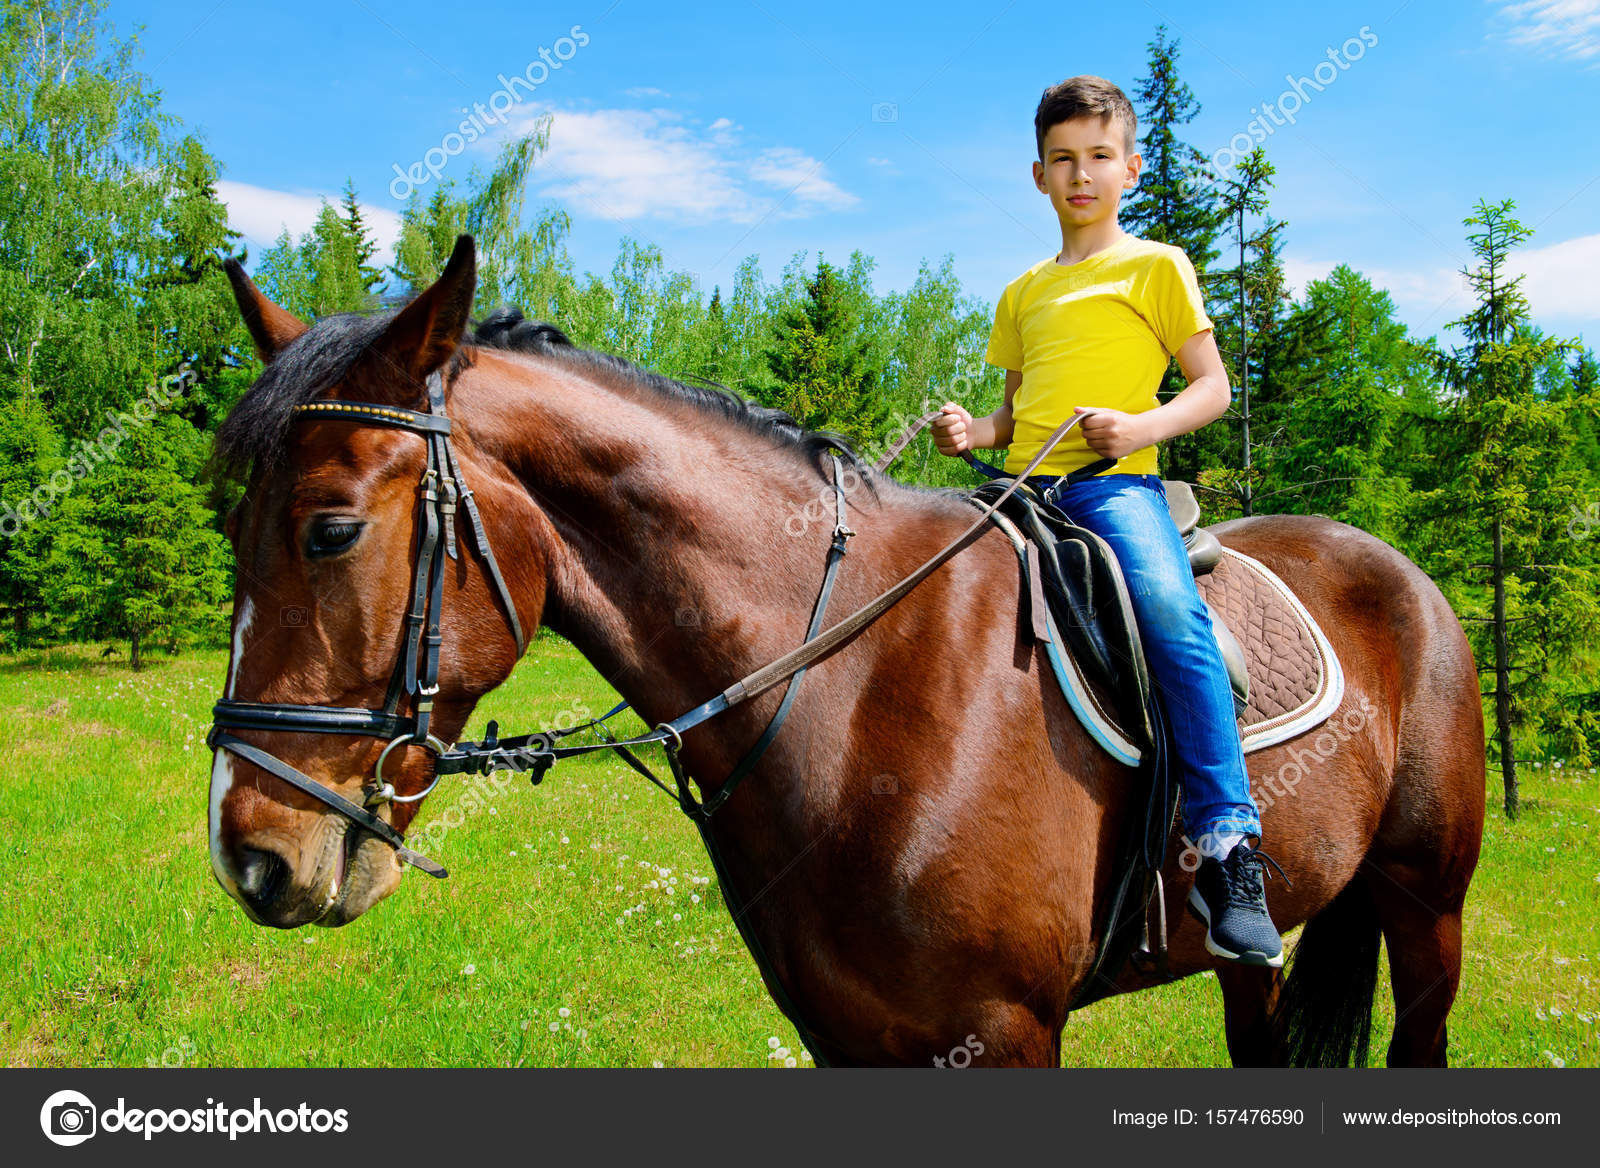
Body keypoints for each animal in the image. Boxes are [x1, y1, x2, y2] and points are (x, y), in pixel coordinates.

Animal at [206, 236, 1486, 1068]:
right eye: (229, 526)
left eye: (330, 529)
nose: (248, 857)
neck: (845, 687)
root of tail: (1404, 573)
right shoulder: (846, 1033)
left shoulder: (1003, 1032)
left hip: (1426, 908)